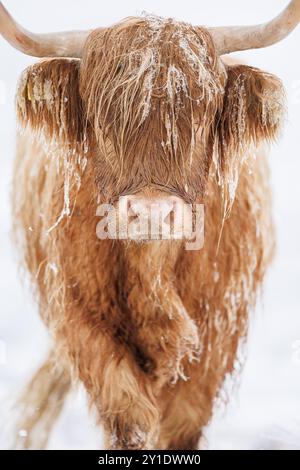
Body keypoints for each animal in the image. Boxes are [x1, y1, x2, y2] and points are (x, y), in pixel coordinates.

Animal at [1, 0, 298, 452]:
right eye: (101, 117)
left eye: (204, 112)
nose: (153, 212)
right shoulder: (79, 317)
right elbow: (129, 418)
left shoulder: (218, 335)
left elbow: (181, 423)